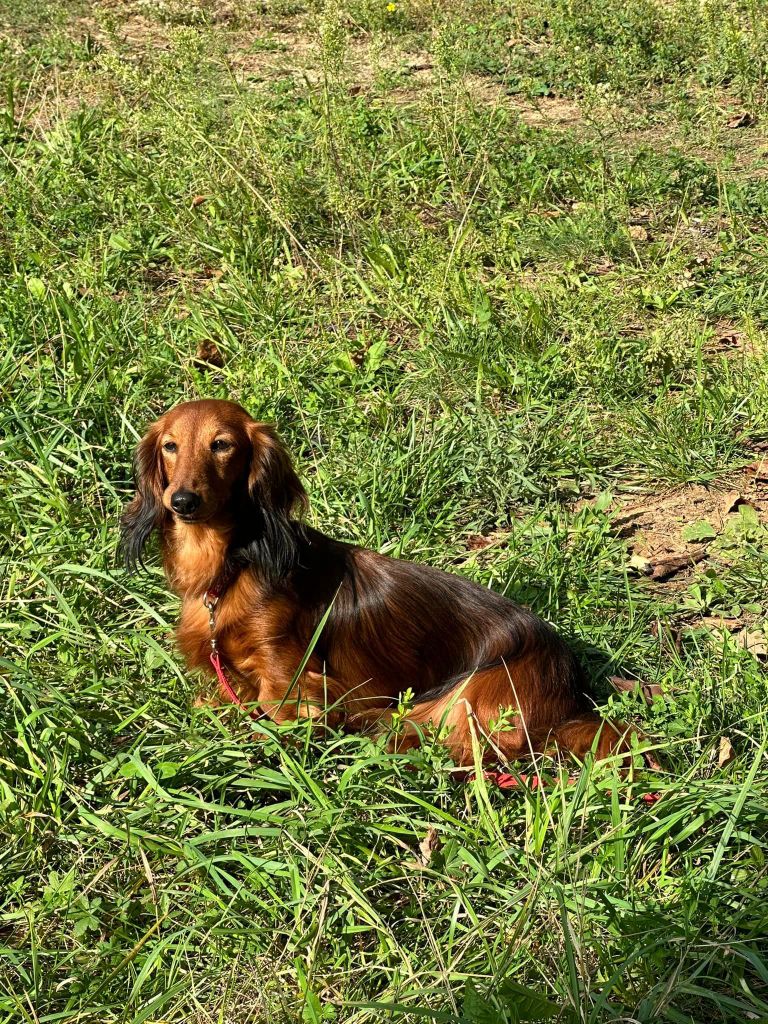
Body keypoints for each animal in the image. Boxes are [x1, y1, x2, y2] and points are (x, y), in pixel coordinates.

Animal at [121, 399, 643, 770]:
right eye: (170, 446)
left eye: (222, 444)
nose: (183, 501)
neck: (231, 565)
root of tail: (572, 694)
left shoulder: (288, 677)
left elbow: (279, 713)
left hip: (470, 697)